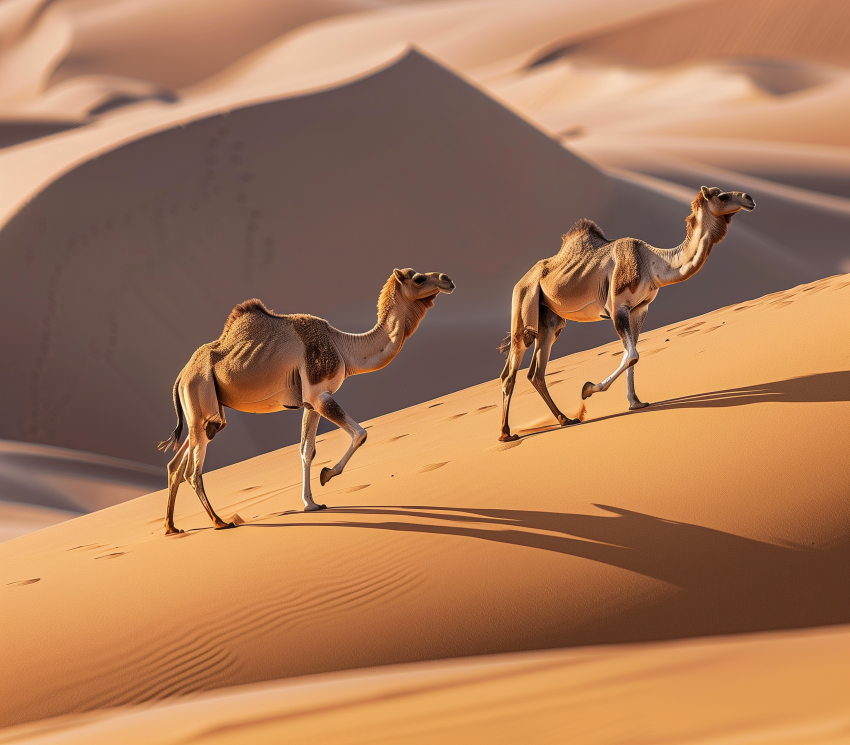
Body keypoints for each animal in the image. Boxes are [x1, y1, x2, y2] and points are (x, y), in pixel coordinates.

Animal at [158, 268, 455, 535]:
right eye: (419, 278)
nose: (447, 279)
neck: (343, 347)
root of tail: (181, 376)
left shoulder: (311, 402)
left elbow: (306, 450)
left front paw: (311, 503)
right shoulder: (319, 394)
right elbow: (360, 434)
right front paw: (327, 475)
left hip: (204, 411)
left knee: (176, 464)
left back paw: (172, 527)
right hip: (201, 397)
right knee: (192, 471)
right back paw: (219, 522)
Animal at [498, 186, 755, 441]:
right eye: (722, 196)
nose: (749, 198)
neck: (653, 263)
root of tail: (520, 282)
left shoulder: (640, 309)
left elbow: (631, 356)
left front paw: (635, 403)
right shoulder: (617, 306)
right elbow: (632, 354)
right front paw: (587, 389)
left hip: (550, 321)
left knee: (536, 372)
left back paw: (565, 419)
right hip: (524, 303)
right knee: (511, 369)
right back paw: (506, 434)